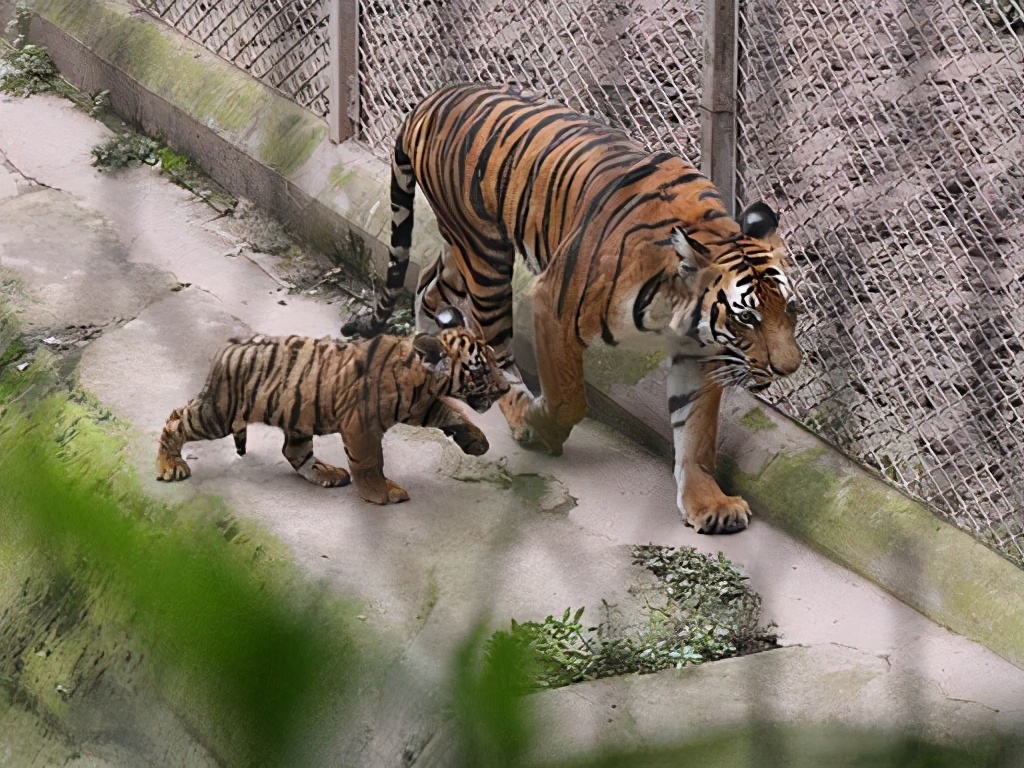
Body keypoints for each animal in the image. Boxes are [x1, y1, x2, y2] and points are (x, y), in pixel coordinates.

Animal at [158, 307, 507, 505]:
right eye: (480, 371)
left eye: (493, 362)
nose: (505, 389)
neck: (426, 381)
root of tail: (230, 344)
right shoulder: (362, 425)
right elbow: (370, 461)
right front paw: (381, 494)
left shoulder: (420, 406)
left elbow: (452, 413)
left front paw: (477, 441)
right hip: (220, 412)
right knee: (177, 418)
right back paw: (170, 466)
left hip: (295, 415)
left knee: (294, 452)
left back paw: (327, 473)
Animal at [339, 81, 802, 532]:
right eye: (747, 318)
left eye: (792, 311)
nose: (788, 368)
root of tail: (434, 99)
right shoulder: (554, 306)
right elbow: (568, 398)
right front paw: (539, 425)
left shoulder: (697, 348)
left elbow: (697, 429)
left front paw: (708, 503)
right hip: (486, 258)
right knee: (495, 349)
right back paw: (514, 408)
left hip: (462, 249)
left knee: (430, 288)